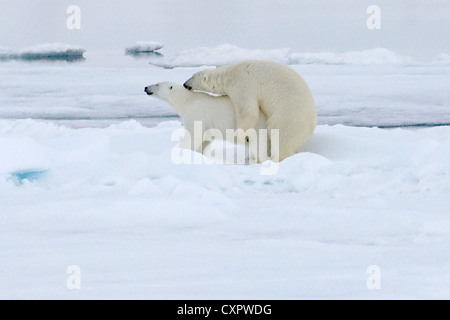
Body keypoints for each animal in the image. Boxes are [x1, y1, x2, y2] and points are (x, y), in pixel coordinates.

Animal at [183, 59, 316, 161]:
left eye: (192, 76)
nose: (184, 84)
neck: (228, 74)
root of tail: (311, 124)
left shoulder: (242, 84)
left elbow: (247, 110)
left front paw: (243, 136)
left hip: (288, 117)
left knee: (280, 136)